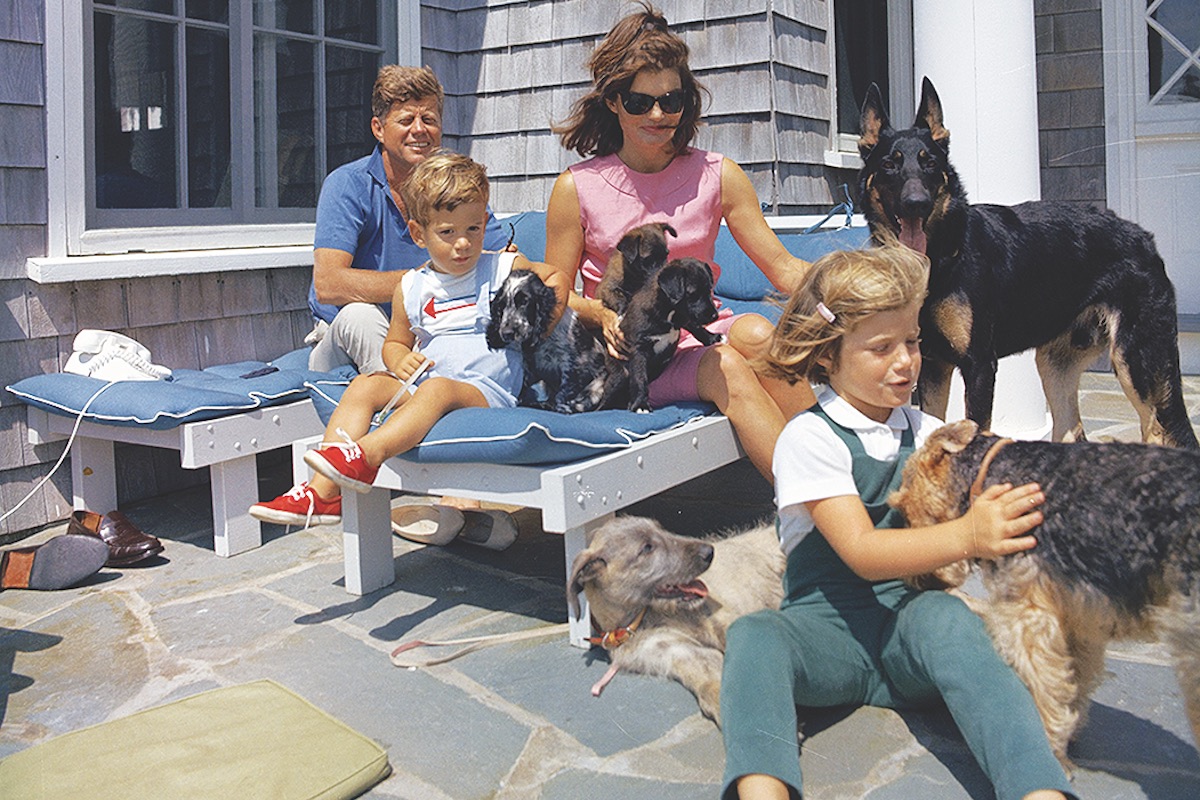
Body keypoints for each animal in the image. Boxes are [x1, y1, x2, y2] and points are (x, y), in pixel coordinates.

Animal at [484, 272, 628, 417]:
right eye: (501, 306)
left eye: (524, 302)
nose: (506, 333)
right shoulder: (530, 366)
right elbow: (523, 384)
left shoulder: (569, 363)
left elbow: (563, 391)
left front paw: (559, 407)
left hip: (597, 387)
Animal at [564, 515, 782, 724]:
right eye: (647, 548)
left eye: (661, 529)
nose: (709, 552)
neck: (646, 618)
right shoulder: (679, 651)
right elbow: (710, 681)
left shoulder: (724, 618)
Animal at [624, 260, 715, 412]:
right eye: (693, 294)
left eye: (709, 290)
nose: (715, 315)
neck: (669, 313)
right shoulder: (639, 349)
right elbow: (639, 376)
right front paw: (641, 404)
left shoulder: (684, 317)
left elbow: (696, 326)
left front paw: (713, 338)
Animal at [859, 77, 1195, 450]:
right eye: (889, 164)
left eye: (929, 162)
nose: (916, 204)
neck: (941, 256)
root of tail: (1144, 238)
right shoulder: (932, 365)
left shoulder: (979, 366)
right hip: (1055, 366)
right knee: (1071, 432)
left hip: (1135, 362)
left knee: (1158, 432)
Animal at [888, 419, 1200, 762]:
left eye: (901, 505)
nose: (917, 581)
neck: (988, 474)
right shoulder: (1077, 617)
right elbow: (1071, 682)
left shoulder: (1027, 613)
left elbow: (1041, 687)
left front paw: (1047, 745)